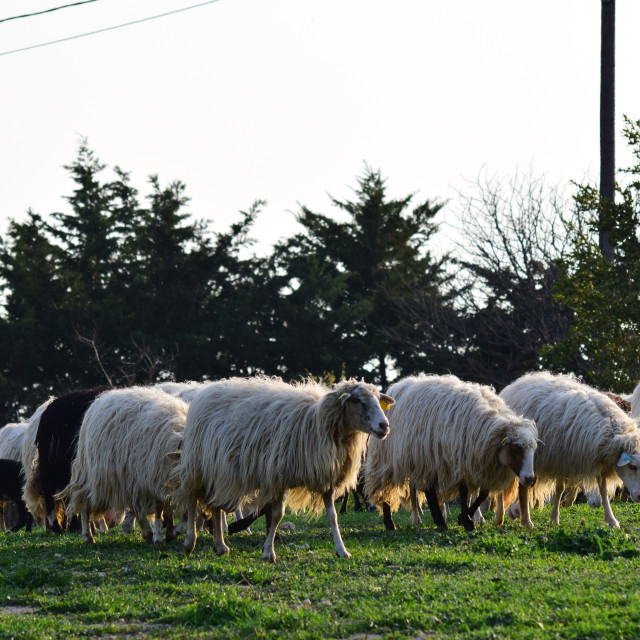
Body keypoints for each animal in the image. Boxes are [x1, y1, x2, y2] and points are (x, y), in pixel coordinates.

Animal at [58, 384, 189, 544]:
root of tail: (101, 399)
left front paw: (172, 532)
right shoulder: (154, 478)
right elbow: (159, 509)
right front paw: (160, 537)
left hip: (129, 476)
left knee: (135, 506)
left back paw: (147, 532)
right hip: (95, 475)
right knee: (84, 502)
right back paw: (88, 536)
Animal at [170, 378, 392, 564]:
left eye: (378, 399)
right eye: (357, 400)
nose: (384, 425)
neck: (318, 423)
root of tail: (208, 390)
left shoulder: (324, 477)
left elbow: (332, 516)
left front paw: (341, 550)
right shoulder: (278, 476)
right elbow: (277, 515)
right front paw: (268, 552)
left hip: (219, 472)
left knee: (215, 506)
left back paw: (220, 546)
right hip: (198, 466)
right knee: (191, 501)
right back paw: (189, 543)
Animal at [362, 372, 536, 532]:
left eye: (533, 450)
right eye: (517, 448)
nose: (530, 479)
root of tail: (398, 385)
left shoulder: (477, 464)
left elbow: (481, 494)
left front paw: (464, 518)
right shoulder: (460, 461)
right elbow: (465, 493)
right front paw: (467, 521)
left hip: (428, 460)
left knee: (430, 492)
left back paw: (440, 521)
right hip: (388, 458)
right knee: (384, 487)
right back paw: (390, 523)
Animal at [500, 370, 640, 528]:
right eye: (632, 466)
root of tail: (519, 382)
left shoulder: (597, 460)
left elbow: (603, 491)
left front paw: (611, 520)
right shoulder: (562, 458)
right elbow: (559, 489)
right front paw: (555, 518)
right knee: (523, 486)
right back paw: (524, 519)